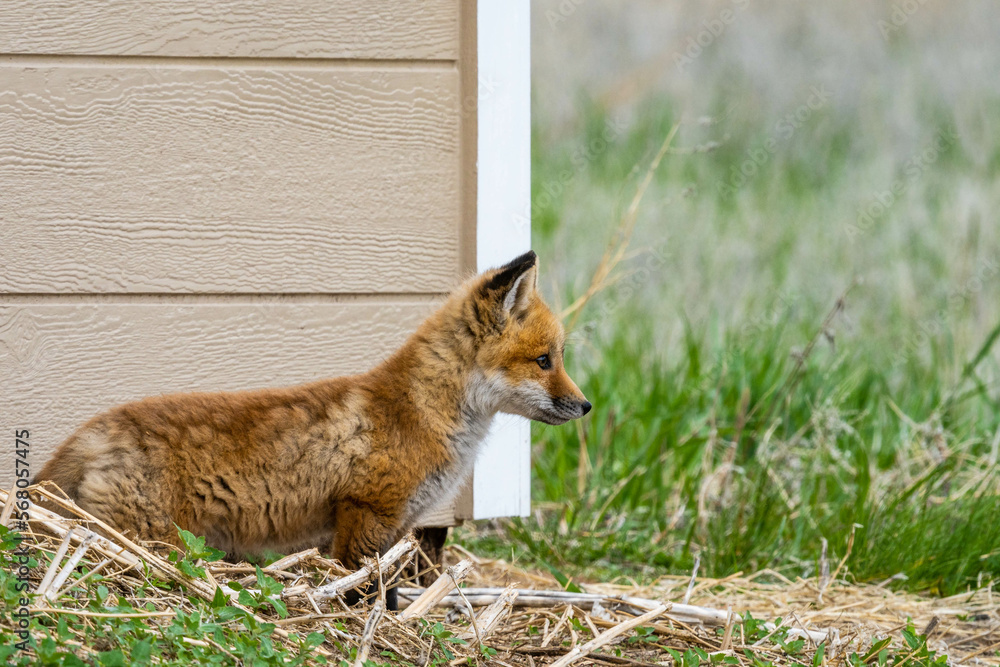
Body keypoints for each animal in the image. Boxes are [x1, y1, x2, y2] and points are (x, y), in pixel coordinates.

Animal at [35, 250, 588, 612]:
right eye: (544, 361)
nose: (585, 405)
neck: (423, 412)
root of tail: (91, 431)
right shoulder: (365, 512)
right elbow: (360, 587)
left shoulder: (396, 526)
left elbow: (386, 589)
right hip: (148, 540)